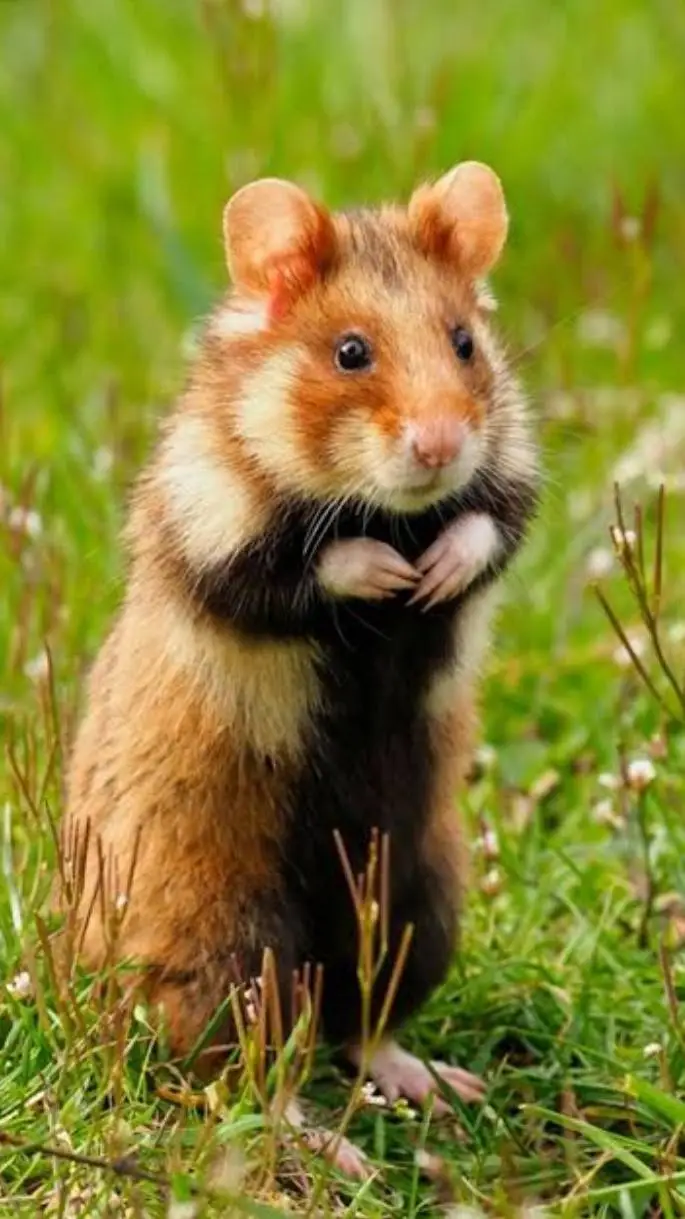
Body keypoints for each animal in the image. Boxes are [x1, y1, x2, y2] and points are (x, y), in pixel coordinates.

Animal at [62, 161, 539, 1176]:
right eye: (350, 352)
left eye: (464, 341)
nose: (440, 444)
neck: (387, 504)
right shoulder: (202, 524)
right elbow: (298, 567)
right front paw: (386, 570)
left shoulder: (512, 474)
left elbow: (489, 525)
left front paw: (432, 573)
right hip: (227, 946)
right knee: (252, 1073)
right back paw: (335, 1151)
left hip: (416, 899)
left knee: (358, 1025)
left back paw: (441, 1087)